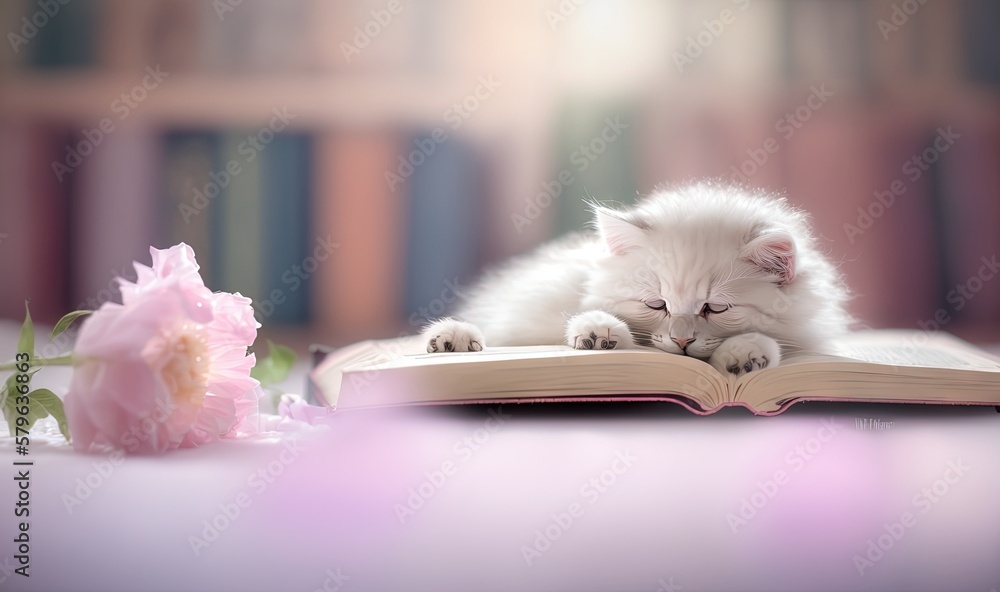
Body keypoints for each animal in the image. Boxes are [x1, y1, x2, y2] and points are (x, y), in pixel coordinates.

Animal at [422, 185, 852, 376]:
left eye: (715, 308)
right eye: (656, 305)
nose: (682, 341)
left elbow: (773, 344)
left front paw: (745, 354)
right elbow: (617, 331)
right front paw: (598, 332)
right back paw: (452, 339)